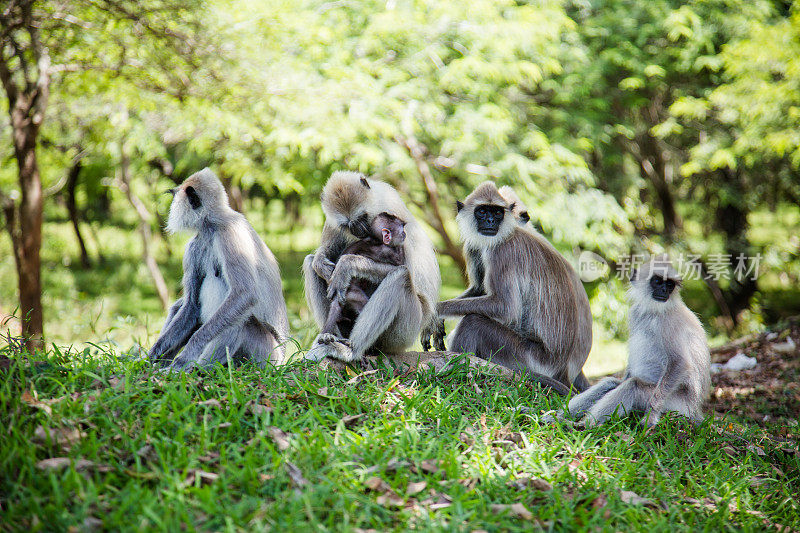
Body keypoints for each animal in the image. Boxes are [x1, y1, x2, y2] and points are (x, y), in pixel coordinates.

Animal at [148, 168, 290, 368]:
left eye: (175, 196)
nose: (170, 207)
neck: (212, 225)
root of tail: (281, 360)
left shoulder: (229, 234)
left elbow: (244, 295)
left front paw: (185, 357)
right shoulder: (193, 247)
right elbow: (191, 305)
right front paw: (152, 355)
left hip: (266, 355)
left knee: (242, 320)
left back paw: (199, 368)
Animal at [318, 210, 406, 342]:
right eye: (402, 230)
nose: (405, 234)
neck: (375, 240)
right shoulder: (385, 250)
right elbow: (400, 262)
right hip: (352, 294)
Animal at [432, 181, 592, 392]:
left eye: (497, 212)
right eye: (482, 211)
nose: (490, 221)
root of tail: (561, 370)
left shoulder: (501, 252)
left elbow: (505, 307)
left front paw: (435, 311)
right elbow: (480, 289)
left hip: (527, 358)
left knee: (472, 322)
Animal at [568, 256, 712, 426]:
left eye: (670, 284)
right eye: (657, 281)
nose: (665, 291)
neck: (653, 312)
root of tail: (694, 410)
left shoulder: (669, 323)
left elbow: (680, 363)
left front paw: (651, 415)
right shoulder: (636, 313)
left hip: (675, 404)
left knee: (633, 385)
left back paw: (582, 425)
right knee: (610, 383)